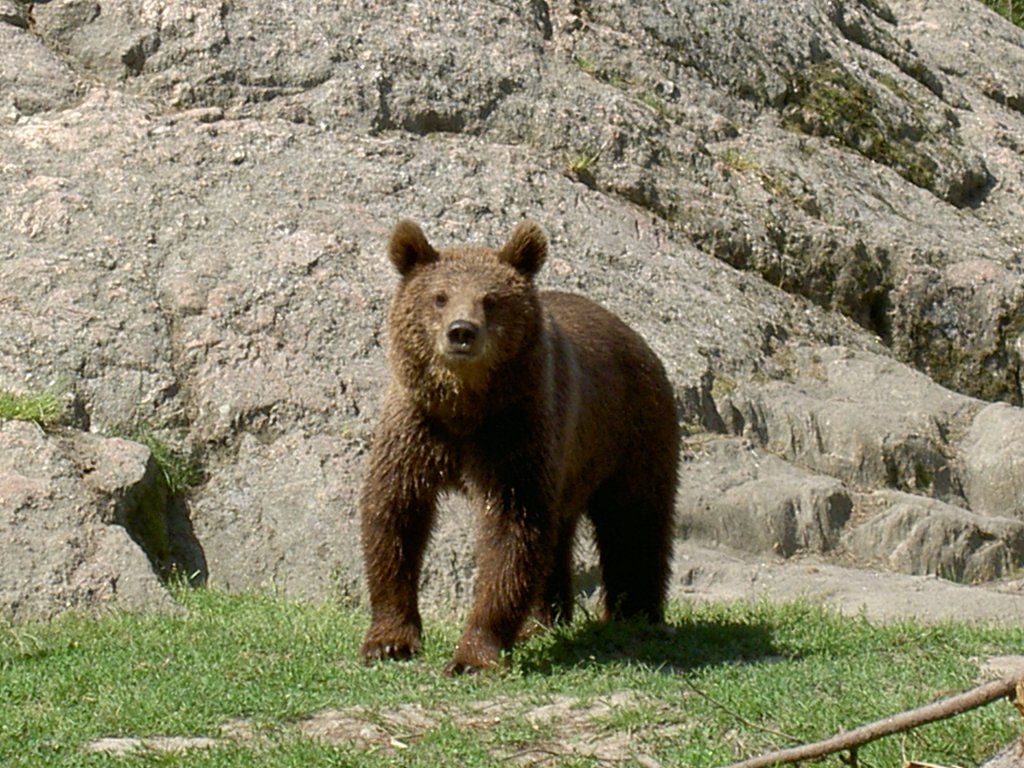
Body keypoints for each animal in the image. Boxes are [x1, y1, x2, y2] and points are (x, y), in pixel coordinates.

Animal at [360, 219, 679, 675]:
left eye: (491, 300)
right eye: (439, 296)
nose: (462, 331)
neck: (465, 406)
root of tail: (639, 340)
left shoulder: (513, 432)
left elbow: (512, 531)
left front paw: (473, 654)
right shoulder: (417, 427)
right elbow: (395, 514)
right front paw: (389, 640)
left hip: (631, 433)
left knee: (633, 522)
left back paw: (634, 614)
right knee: (560, 536)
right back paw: (544, 621)